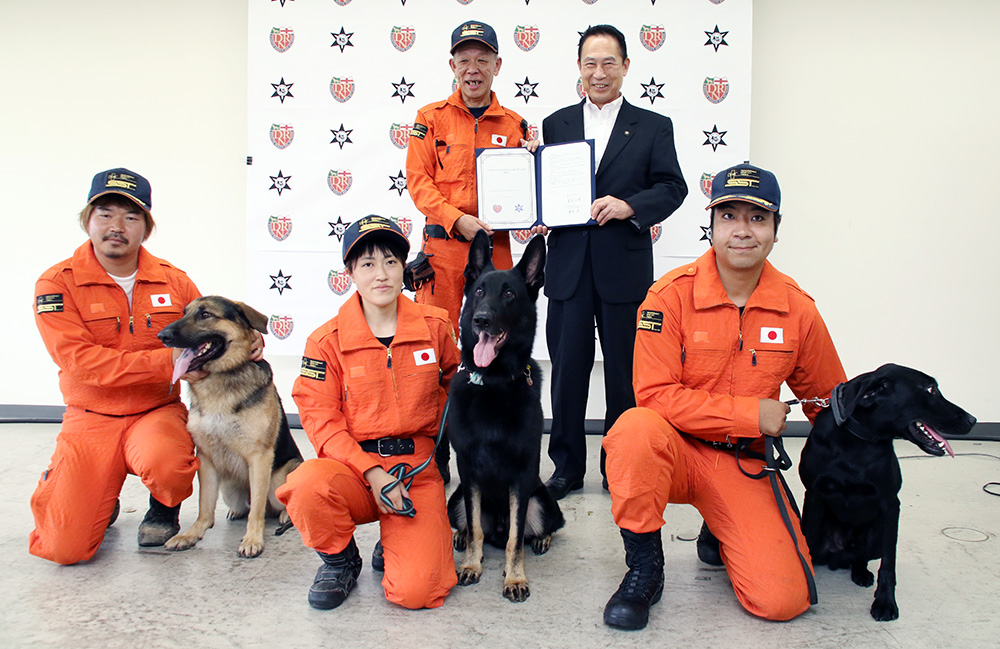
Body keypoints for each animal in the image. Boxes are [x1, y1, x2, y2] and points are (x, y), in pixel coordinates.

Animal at [156, 296, 300, 556]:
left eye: (205, 314)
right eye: (184, 313)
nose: (162, 336)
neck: (220, 379)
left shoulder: (260, 457)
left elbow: (257, 510)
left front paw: (252, 539)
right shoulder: (205, 458)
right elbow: (204, 506)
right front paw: (191, 534)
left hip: (280, 478)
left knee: (274, 504)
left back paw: (284, 514)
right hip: (229, 490)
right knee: (246, 505)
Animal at [450, 232, 568, 604]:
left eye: (509, 294)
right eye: (478, 292)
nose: (481, 320)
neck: (494, 382)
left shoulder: (522, 474)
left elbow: (517, 538)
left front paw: (515, 578)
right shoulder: (468, 472)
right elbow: (475, 526)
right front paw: (471, 564)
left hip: (541, 498)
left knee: (543, 526)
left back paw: (541, 538)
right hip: (454, 498)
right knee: (471, 525)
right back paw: (461, 538)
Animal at [800, 362, 972, 620]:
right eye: (930, 389)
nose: (973, 420)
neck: (855, 443)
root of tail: (837, 556)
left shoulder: (890, 503)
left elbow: (889, 563)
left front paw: (885, 603)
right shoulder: (814, 494)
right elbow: (807, 545)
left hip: (875, 536)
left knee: (861, 559)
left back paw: (862, 574)